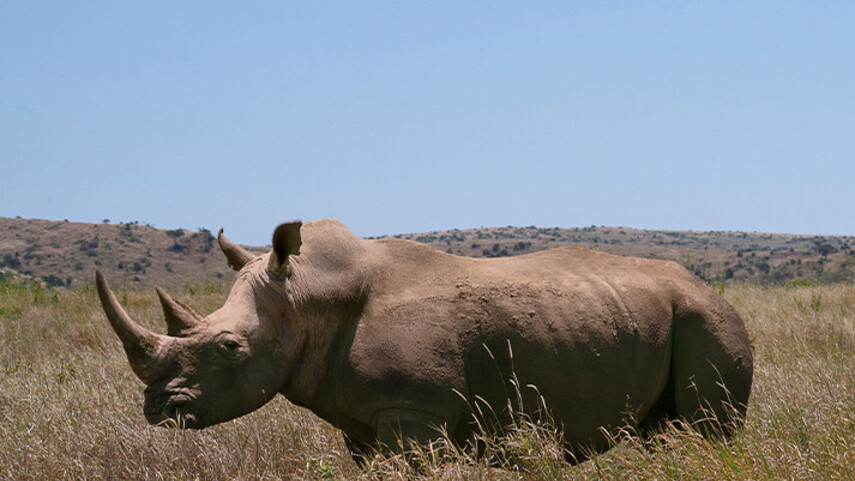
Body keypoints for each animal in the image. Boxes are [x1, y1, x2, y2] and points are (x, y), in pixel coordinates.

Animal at [96, 219, 753, 461]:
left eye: (231, 348)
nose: (159, 409)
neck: (305, 299)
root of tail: (712, 287)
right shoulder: (363, 420)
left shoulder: (414, 409)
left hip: (709, 319)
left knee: (709, 427)